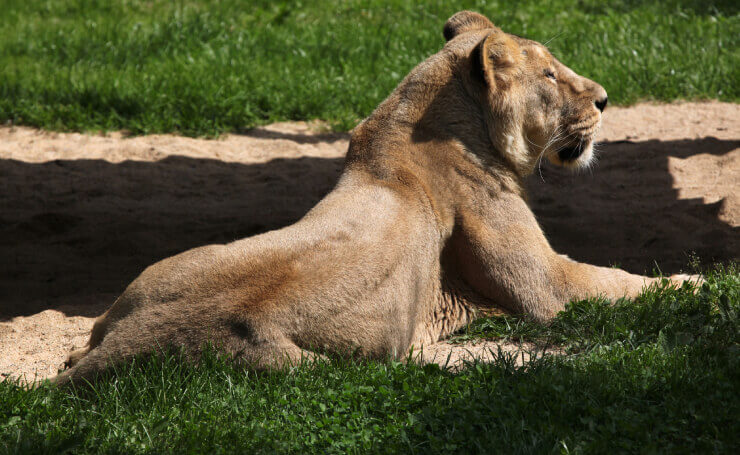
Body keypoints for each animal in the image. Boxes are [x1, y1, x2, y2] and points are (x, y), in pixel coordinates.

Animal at [50, 11, 692, 384]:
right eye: (551, 77)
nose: (604, 99)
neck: (417, 121)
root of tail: (135, 344)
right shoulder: (544, 285)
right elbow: (620, 281)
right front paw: (698, 283)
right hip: (323, 370)